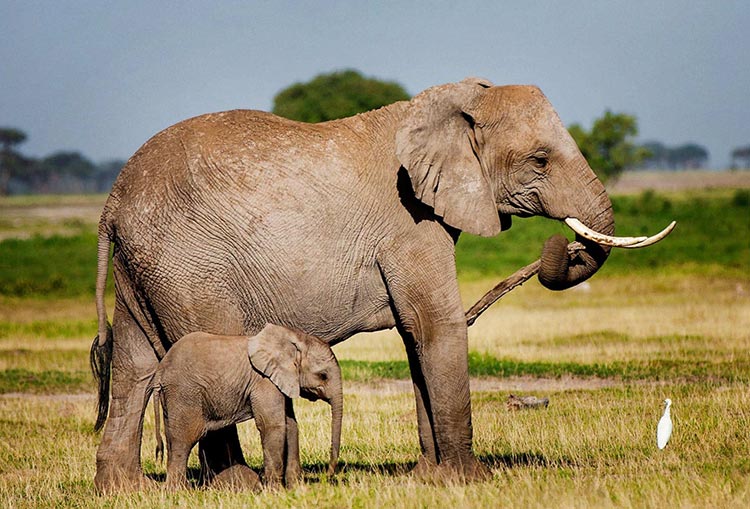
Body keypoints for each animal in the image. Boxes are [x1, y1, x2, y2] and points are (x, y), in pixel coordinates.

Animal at [145, 324, 344, 490]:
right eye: (323, 375)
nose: (327, 476)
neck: (292, 337)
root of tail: (160, 371)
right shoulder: (264, 381)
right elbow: (273, 426)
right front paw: (275, 492)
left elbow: (291, 425)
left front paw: (296, 489)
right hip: (184, 393)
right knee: (185, 438)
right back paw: (178, 491)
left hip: (173, 397)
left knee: (171, 437)